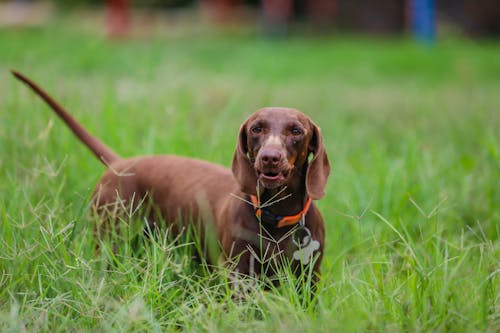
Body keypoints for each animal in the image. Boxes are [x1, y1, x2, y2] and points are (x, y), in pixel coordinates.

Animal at [11, 70, 330, 282]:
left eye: (296, 130)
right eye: (257, 128)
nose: (270, 158)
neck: (277, 218)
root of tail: (121, 163)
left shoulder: (308, 280)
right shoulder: (238, 275)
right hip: (110, 238)